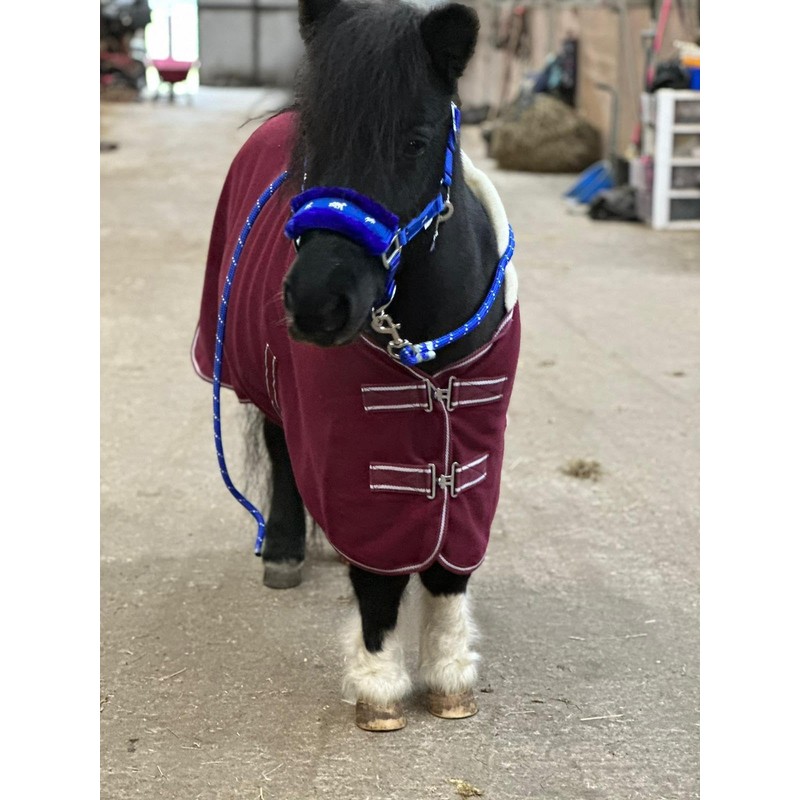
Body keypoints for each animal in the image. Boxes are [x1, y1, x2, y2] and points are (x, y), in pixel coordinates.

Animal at [191, 0, 521, 731]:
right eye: (315, 135)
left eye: (416, 141)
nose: (318, 302)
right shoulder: (359, 455)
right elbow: (377, 576)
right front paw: (379, 688)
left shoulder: (473, 443)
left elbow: (450, 566)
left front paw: (449, 680)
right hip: (270, 386)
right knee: (283, 454)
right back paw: (284, 551)